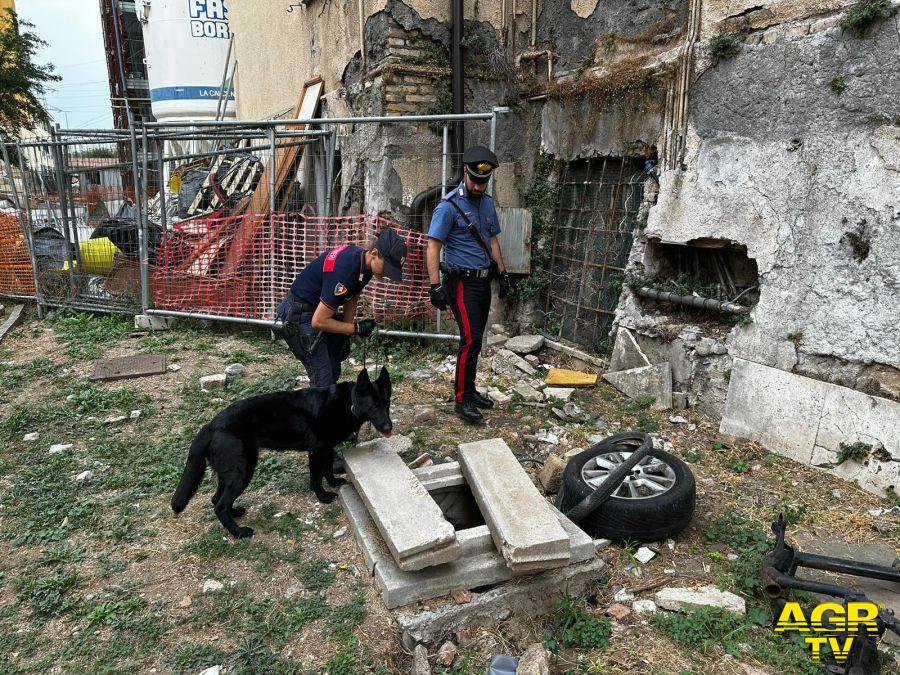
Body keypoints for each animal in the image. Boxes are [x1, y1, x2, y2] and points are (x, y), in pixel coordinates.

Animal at [171, 368, 392, 536]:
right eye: (373, 406)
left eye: (387, 403)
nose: (388, 427)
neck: (349, 403)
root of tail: (211, 426)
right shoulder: (317, 451)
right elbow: (316, 478)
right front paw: (323, 497)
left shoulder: (327, 449)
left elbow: (328, 470)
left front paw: (335, 483)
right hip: (243, 472)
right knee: (220, 505)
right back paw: (239, 532)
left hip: (230, 473)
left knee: (216, 499)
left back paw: (235, 514)